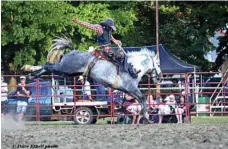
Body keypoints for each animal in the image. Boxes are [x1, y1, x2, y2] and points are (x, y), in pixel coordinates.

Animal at [21, 36, 163, 122]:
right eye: (158, 64)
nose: (160, 78)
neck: (132, 67)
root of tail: (72, 51)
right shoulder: (131, 88)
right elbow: (143, 98)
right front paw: (147, 116)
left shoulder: (128, 91)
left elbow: (138, 100)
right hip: (64, 68)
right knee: (47, 65)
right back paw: (30, 70)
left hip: (67, 72)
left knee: (48, 67)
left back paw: (32, 73)